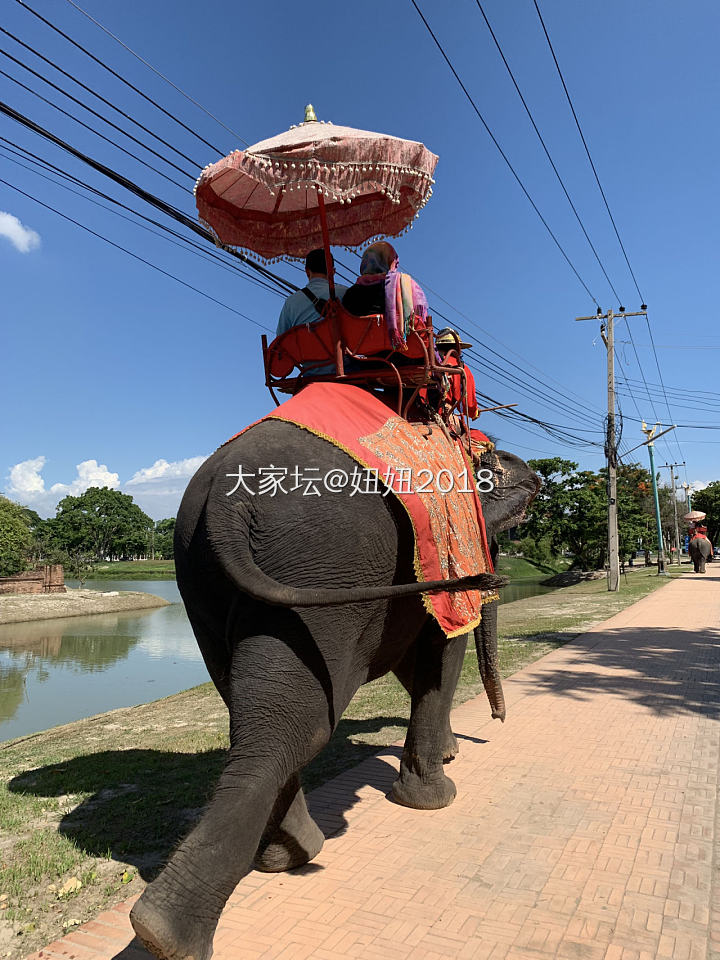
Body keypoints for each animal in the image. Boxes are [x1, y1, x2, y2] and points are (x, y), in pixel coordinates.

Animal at [128, 422, 540, 960]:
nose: (497, 722)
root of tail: (224, 503)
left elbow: (418, 664)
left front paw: (447, 757)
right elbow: (441, 654)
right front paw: (436, 797)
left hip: (208, 584)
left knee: (261, 716)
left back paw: (283, 860)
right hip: (323, 571)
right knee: (302, 729)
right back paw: (167, 933)